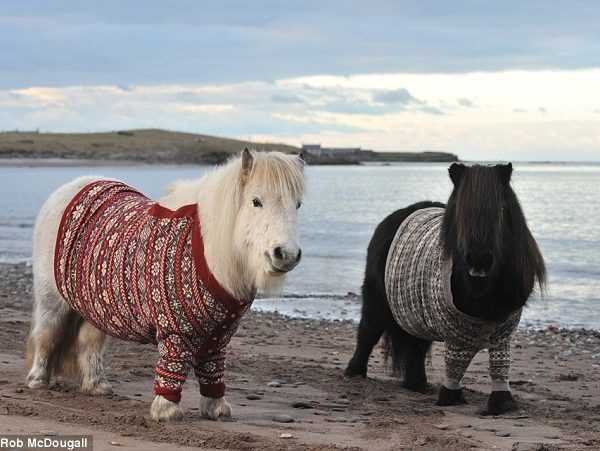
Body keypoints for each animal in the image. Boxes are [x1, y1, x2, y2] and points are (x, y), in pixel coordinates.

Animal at [25, 150, 304, 422]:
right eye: (256, 201)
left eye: (298, 204)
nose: (286, 254)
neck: (207, 249)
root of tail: (72, 187)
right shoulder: (175, 330)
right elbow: (173, 365)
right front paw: (166, 410)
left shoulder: (218, 335)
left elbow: (213, 369)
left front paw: (216, 408)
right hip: (52, 301)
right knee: (47, 334)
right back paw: (37, 380)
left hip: (96, 307)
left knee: (89, 342)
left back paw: (96, 385)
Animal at [344, 163, 548, 416]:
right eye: (460, 211)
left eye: (502, 209)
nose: (479, 260)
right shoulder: (454, 334)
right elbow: (455, 366)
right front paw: (450, 397)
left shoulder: (503, 333)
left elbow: (500, 366)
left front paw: (503, 404)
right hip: (377, 301)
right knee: (368, 333)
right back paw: (354, 373)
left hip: (417, 315)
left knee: (416, 345)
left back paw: (416, 384)